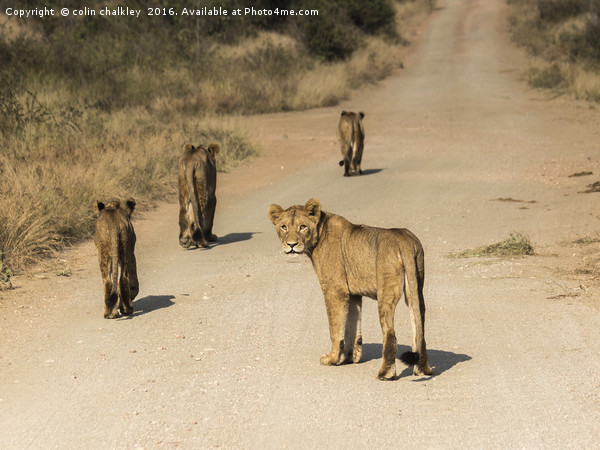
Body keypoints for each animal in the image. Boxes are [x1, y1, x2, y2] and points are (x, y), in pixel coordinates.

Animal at [268, 199, 432, 378]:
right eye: (284, 227)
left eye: (302, 226)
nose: (291, 245)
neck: (319, 234)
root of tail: (404, 238)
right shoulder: (353, 294)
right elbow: (351, 327)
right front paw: (348, 357)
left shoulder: (335, 290)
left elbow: (335, 328)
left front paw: (332, 359)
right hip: (416, 286)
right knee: (420, 327)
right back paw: (422, 369)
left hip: (386, 291)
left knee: (390, 332)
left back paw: (385, 374)